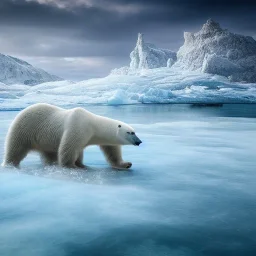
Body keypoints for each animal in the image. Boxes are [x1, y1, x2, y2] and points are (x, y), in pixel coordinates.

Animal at [2, 103, 142, 169]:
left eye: (134, 131)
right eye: (130, 132)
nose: (139, 142)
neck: (93, 124)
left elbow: (112, 151)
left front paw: (126, 164)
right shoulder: (78, 126)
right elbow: (68, 148)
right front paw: (71, 165)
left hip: (45, 140)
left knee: (49, 153)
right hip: (25, 128)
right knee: (15, 148)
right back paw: (10, 164)